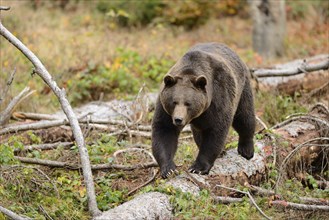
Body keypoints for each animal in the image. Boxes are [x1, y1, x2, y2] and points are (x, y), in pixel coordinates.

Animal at [151, 42, 254, 178]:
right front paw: (169, 169)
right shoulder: (165, 109)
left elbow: (215, 131)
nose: (178, 119)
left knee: (244, 116)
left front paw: (197, 168)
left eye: (188, 103)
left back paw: (246, 149)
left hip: (242, 87)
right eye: (174, 102)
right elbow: (164, 130)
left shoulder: (218, 98)